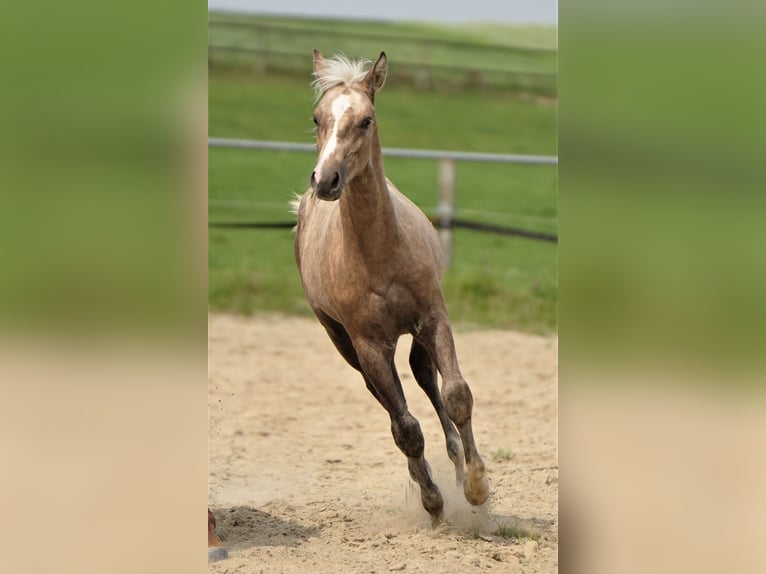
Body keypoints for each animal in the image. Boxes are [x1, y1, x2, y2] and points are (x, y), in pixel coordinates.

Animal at [294, 50, 492, 528]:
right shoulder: (368, 344)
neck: (381, 254)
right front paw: (434, 503)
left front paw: (477, 487)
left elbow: (457, 395)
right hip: (344, 342)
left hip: (415, 335)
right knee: (388, 403)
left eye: (366, 120)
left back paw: (457, 466)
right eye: (316, 118)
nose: (325, 180)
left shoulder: (434, 317)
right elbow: (405, 427)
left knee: (425, 378)